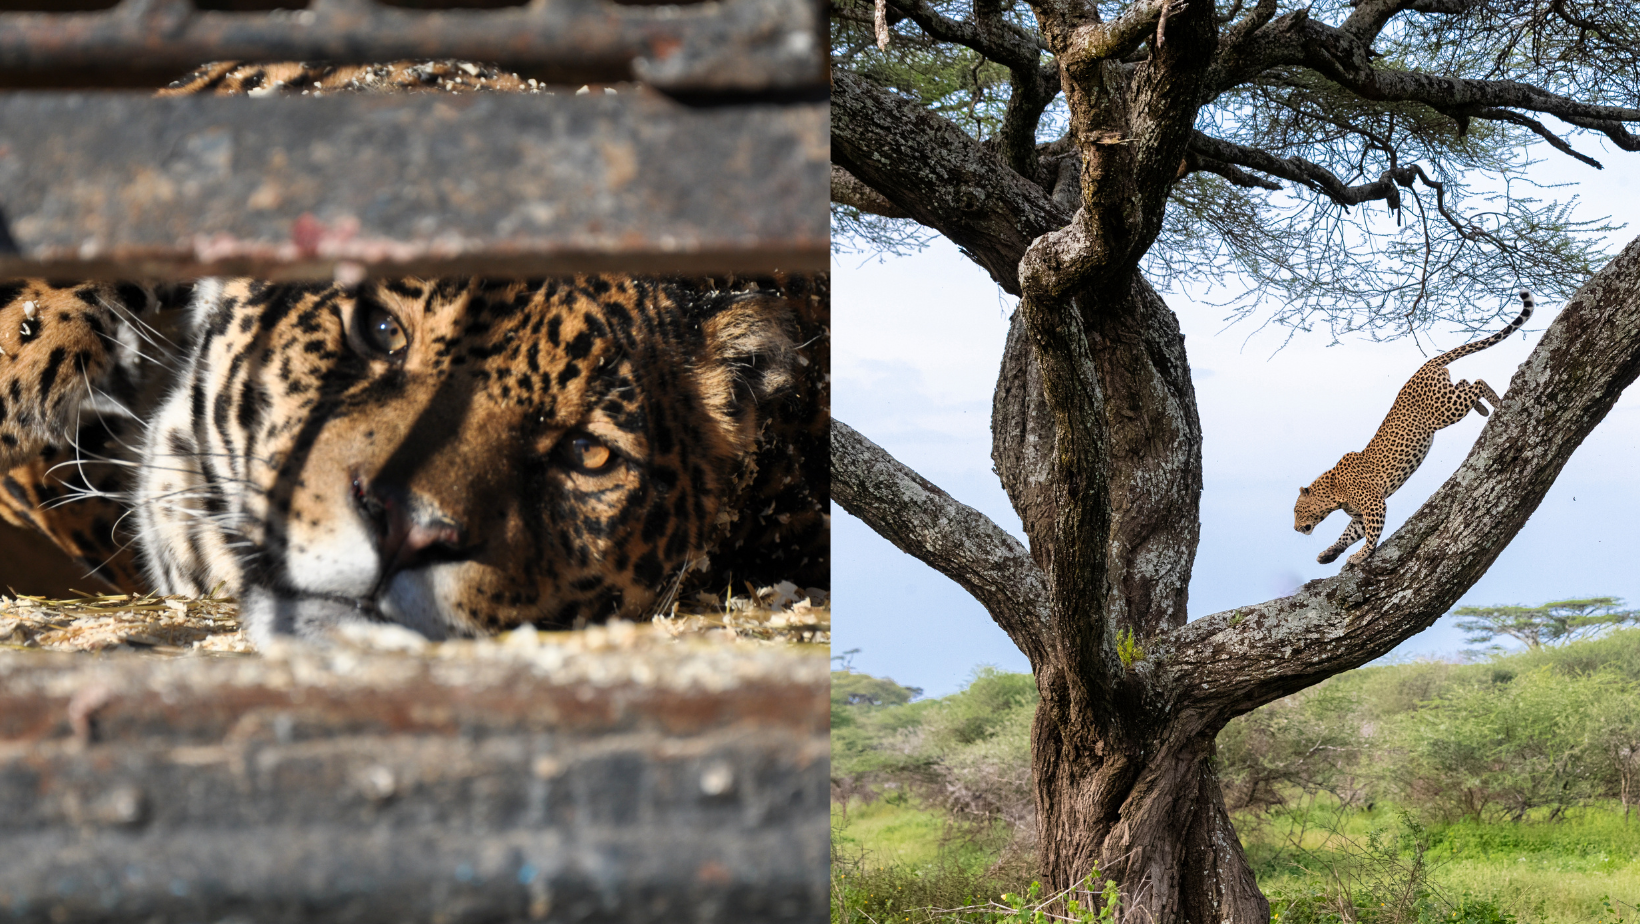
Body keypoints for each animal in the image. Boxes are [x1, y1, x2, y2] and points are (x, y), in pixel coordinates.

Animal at [1293, 291, 1533, 567]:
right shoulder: (1360, 516)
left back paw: (1496, 403)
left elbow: (1371, 535)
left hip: (1443, 410)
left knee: (1478, 382)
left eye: (1297, 511)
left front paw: (1362, 555)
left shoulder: (1374, 504)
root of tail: (1423, 367)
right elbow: (1348, 534)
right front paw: (1329, 553)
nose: (1295, 529)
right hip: (1446, 394)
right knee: (1464, 382)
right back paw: (1483, 408)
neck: (1333, 492)